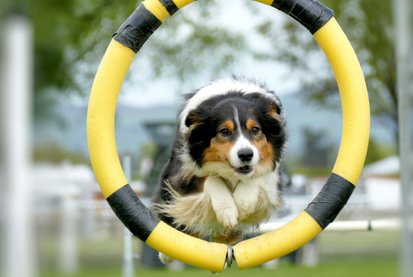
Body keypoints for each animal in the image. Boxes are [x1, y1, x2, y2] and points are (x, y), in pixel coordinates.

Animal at [152, 76, 286, 262]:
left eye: (255, 130)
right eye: (224, 131)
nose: (246, 155)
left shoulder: (272, 173)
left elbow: (258, 176)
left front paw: (242, 203)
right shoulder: (183, 172)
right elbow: (211, 178)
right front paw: (228, 210)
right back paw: (167, 252)